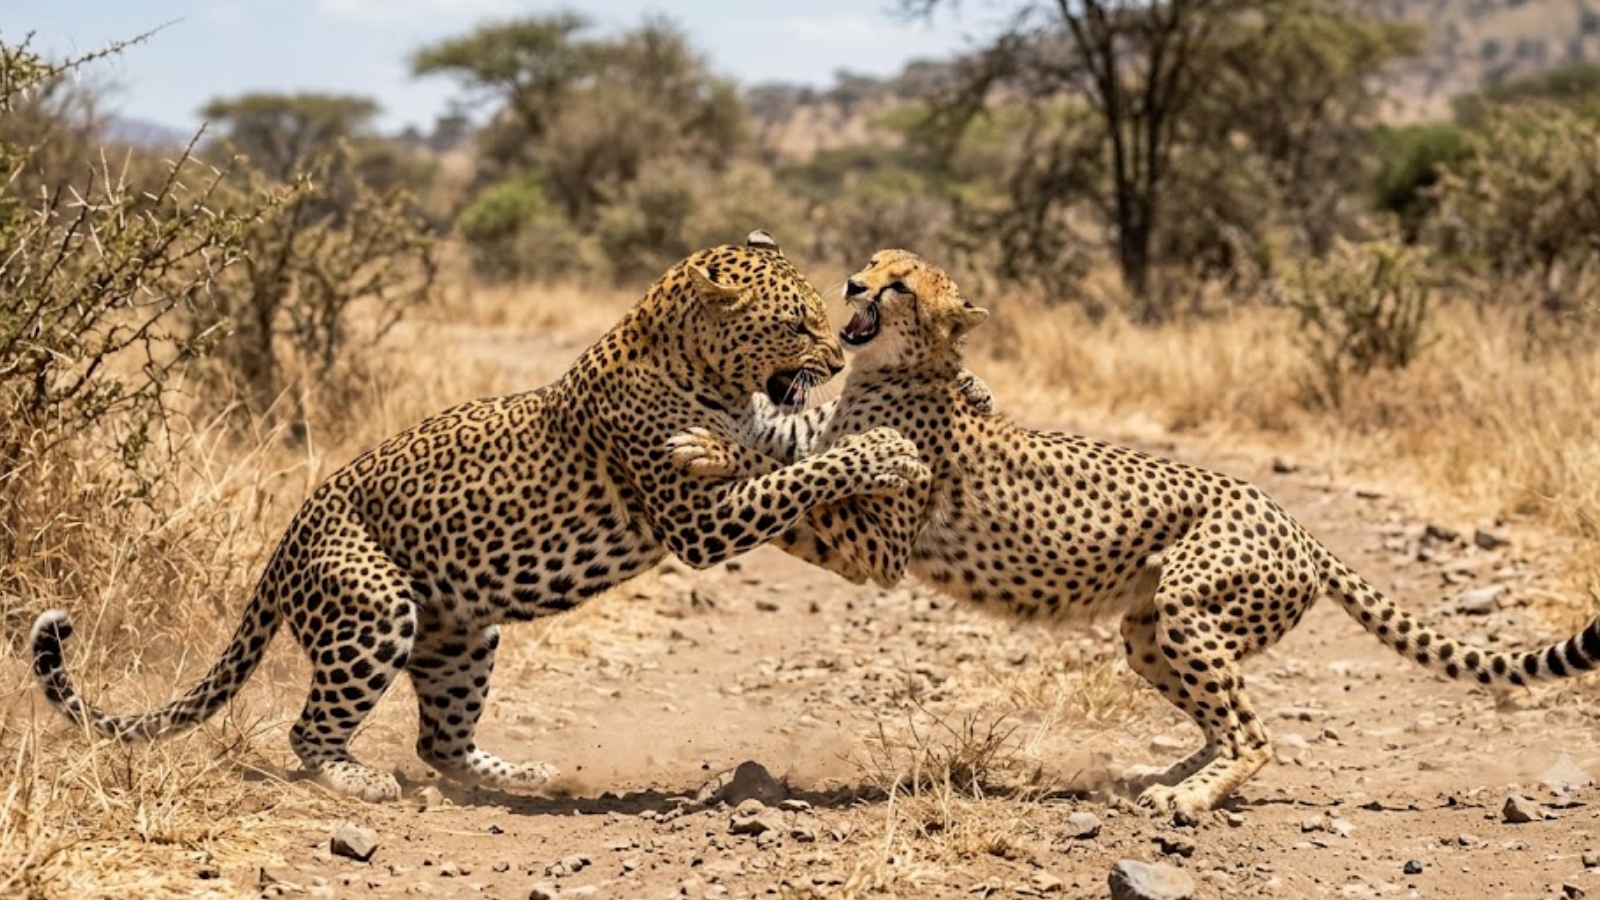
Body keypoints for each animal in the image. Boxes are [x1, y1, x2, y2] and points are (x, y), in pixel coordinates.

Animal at [28, 231, 933, 803]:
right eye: (796, 321)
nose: (836, 357)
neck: (702, 369)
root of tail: (290, 532)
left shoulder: (765, 434)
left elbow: (805, 445)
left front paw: (900, 423)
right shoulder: (700, 521)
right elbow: (805, 473)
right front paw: (890, 450)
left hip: (461, 635)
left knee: (441, 742)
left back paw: (528, 777)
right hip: (374, 609)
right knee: (310, 731)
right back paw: (360, 781)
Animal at [669, 247, 1600, 823]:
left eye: (900, 285)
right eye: (871, 266)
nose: (854, 287)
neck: (895, 370)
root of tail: (1291, 519)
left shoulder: (880, 551)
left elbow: (801, 498)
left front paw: (709, 454)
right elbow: (794, 453)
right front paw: (713, 442)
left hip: (1191, 605)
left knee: (1255, 732)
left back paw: (1189, 800)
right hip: (1149, 630)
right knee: (1218, 721)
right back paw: (1168, 777)